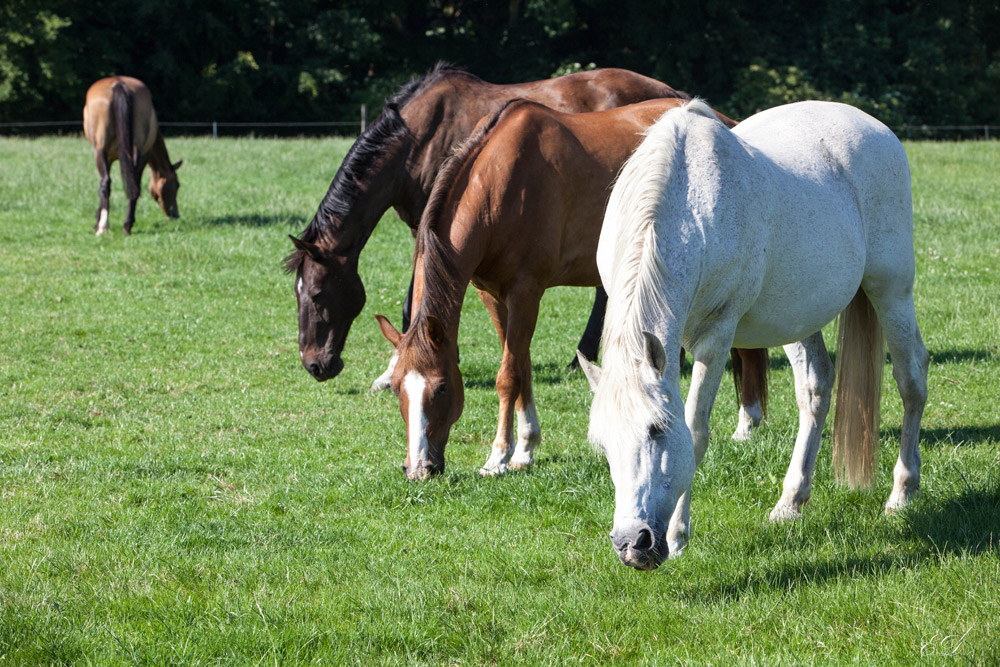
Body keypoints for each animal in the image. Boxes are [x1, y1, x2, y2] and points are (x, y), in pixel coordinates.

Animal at [83, 76, 183, 235]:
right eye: (177, 185)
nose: (175, 214)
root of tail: (119, 83)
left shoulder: (107, 157)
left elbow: (102, 187)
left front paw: (98, 222)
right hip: (135, 152)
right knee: (133, 185)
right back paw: (127, 225)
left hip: (101, 151)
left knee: (106, 183)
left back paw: (104, 226)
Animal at [284, 64, 696, 386]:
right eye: (298, 292)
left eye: (317, 294)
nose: (315, 365)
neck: (418, 140)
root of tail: (673, 94)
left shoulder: (427, 228)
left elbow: (411, 299)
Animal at [374, 98, 764, 480]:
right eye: (395, 387)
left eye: (441, 387)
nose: (418, 469)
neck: (500, 183)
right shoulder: (493, 295)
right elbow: (522, 367)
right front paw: (526, 448)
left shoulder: (526, 292)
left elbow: (508, 375)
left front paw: (498, 457)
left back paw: (747, 424)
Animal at [580, 102, 928, 572]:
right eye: (602, 443)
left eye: (656, 430)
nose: (631, 543)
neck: (687, 210)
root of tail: (874, 126)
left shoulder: (715, 337)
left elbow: (696, 430)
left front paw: (679, 535)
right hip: (797, 316)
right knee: (816, 389)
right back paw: (790, 503)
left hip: (891, 290)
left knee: (911, 380)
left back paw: (902, 493)